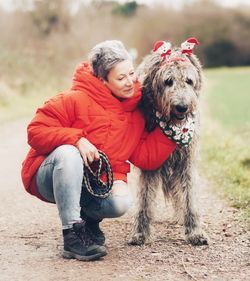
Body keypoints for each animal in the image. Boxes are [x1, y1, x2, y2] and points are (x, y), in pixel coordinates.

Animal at [129, 39, 209, 245]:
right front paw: (141, 233)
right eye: (168, 81)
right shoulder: (149, 160)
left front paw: (194, 231)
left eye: (189, 80)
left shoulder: (187, 158)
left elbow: (189, 195)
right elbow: (145, 197)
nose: (181, 107)